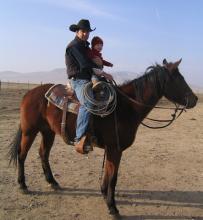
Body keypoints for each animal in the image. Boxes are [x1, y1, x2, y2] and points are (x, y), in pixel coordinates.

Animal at [8, 59, 197, 216]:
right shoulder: (115, 149)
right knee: (22, 154)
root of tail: (29, 93)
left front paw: (104, 193)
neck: (125, 107)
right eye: (179, 79)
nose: (195, 99)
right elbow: (113, 177)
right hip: (29, 131)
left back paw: (53, 182)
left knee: (43, 154)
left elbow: (108, 174)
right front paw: (112, 207)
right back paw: (22, 185)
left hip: (48, 132)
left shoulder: (112, 150)